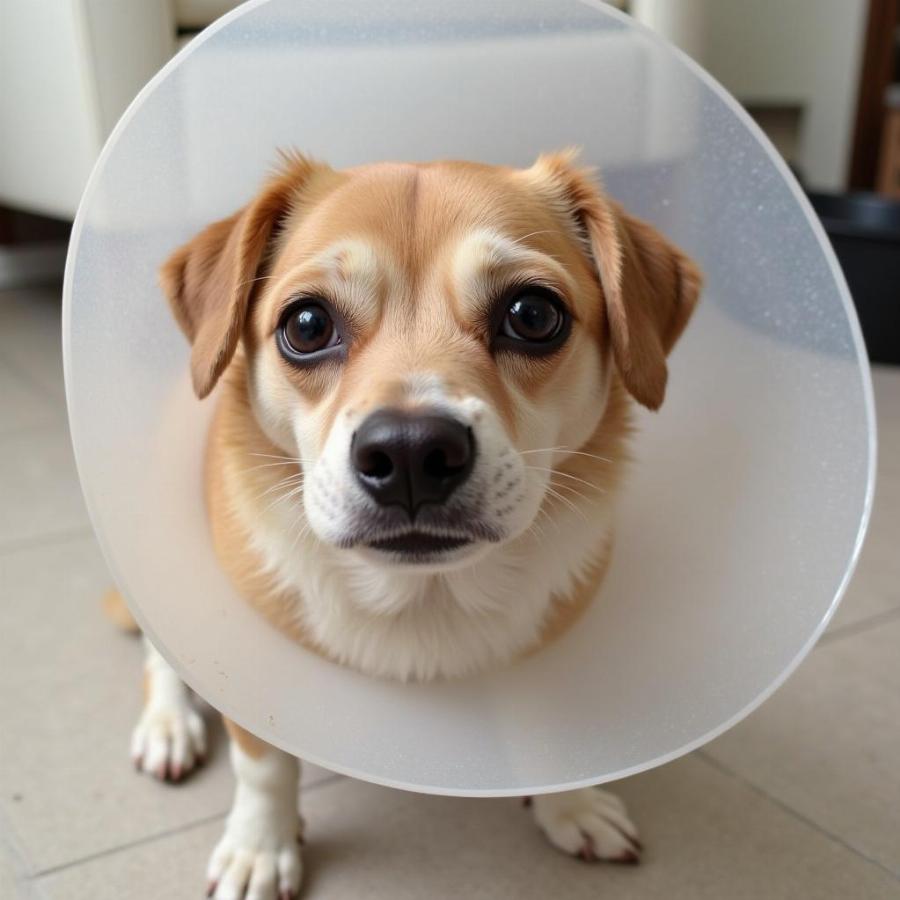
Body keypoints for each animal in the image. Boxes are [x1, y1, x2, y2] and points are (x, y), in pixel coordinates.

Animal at [105, 151, 700, 896]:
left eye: (533, 314)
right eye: (306, 324)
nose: (413, 452)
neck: (426, 602)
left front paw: (573, 804)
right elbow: (265, 765)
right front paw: (260, 846)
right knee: (160, 657)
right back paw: (168, 727)